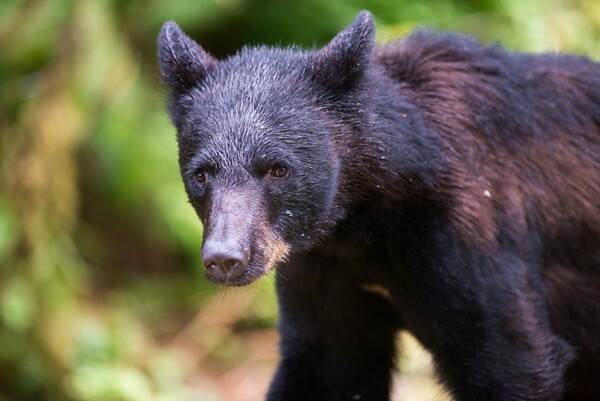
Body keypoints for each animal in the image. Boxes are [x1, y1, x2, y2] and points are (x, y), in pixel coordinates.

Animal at [158, 11, 600, 400]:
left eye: (278, 169)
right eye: (201, 174)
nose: (225, 258)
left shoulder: (471, 238)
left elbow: (507, 359)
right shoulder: (325, 264)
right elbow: (332, 365)